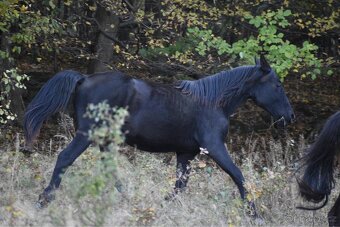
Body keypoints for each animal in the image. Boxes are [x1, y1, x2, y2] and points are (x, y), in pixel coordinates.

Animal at [23, 55, 294, 207]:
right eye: (278, 85)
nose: (290, 117)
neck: (213, 102)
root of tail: (84, 78)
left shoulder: (186, 153)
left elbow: (180, 185)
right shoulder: (214, 147)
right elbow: (239, 176)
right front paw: (253, 213)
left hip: (105, 139)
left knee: (110, 170)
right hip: (87, 135)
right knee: (65, 159)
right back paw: (44, 200)